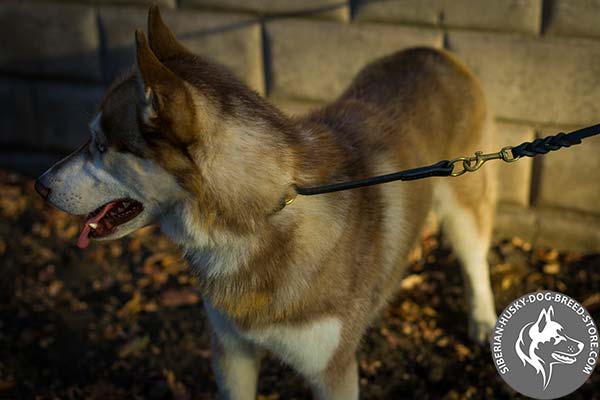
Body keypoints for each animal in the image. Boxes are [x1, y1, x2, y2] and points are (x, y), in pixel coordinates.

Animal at [35, 6, 500, 400]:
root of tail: (435, 50)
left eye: (99, 144)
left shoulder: (333, 372)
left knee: (474, 260)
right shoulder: (231, 352)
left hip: (464, 201)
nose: (41, 185)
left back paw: (482, 319)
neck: (255, 221)